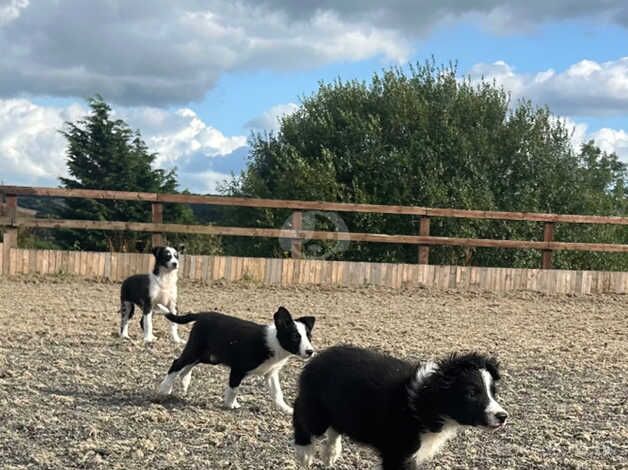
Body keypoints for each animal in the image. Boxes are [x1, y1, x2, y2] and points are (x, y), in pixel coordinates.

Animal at [157, 306, 314, 414]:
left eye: (309, 337)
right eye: (295, 337)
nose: (310, 352)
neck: (275, 343)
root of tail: (204, 315)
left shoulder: (271, 373)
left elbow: (277, 393)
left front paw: (286, 409)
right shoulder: (238, 369)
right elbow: (233, 389)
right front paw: (230, 405)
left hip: (210, 356)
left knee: (188, 365)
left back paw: (184, 381)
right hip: (195, 349)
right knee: (177, 363)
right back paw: (165, 388)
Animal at [294, 346, 506, 470]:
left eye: (492, 392)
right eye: (471, 394)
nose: (503, 416)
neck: (426, 400)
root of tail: (318, 357)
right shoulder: (397, 453)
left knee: (334, 427)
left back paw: (331, 453)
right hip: (316, 410)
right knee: (301, 415)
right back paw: (305, 453)